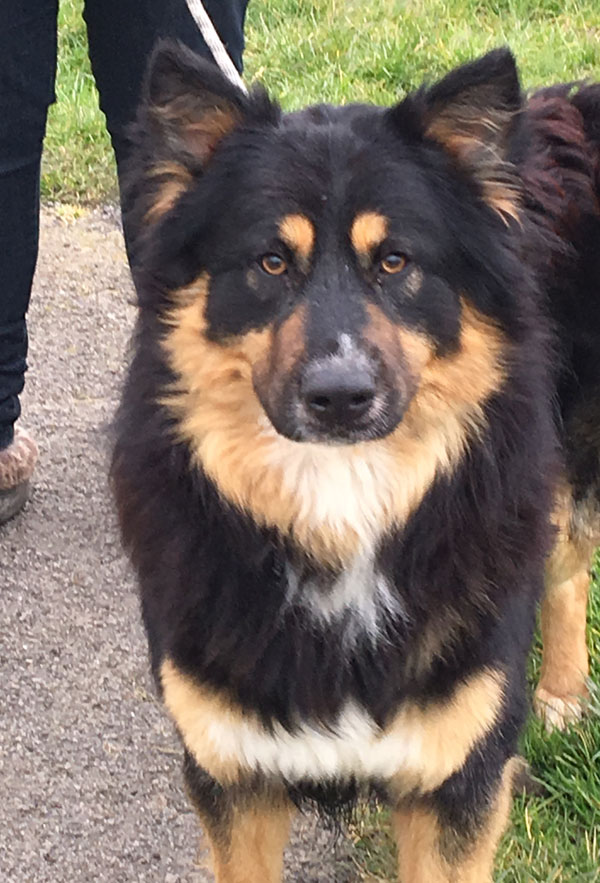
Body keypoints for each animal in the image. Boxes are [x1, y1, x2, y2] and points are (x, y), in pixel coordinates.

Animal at [113, 46, 600, 883]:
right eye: (271, 261)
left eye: (396, 261)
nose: (339, 397)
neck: (340, 502)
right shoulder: (232, 770)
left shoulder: (456, 775)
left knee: (567, 562)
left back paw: (563, 693)